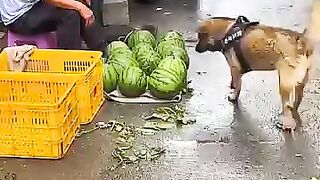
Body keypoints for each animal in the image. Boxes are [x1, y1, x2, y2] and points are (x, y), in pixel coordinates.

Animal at [196, 0, 320, 132]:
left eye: (200, 37)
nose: (196, 49)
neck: (226, 32)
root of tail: (301, 41)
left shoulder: (235, 70)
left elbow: (237, 86)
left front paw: (234, 96)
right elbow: (236, 84)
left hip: (284, 84)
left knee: (286, 106)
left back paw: (285, 123)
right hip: (300, 81)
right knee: (298, 97)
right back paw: (294, 108)